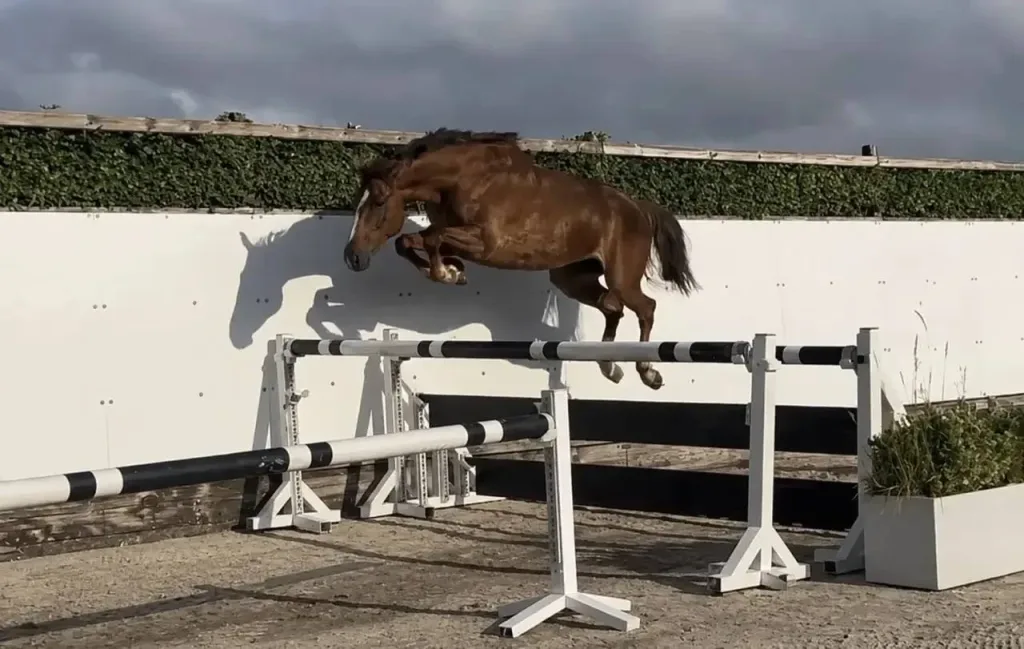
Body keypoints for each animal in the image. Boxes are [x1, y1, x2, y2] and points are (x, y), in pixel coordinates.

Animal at [342, 128, 700, 390]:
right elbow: (409, 241)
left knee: (644, 307)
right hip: (572, 277)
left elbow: (432, 238)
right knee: (612, 307)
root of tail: (638, 207)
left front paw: (447, 272)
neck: (460, 178)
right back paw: (609, 366)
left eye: (378, 202)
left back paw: (647, 371)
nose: (352, 258)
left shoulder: (486, 243)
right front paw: (453, 271)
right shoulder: (458, 236)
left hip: (621, 276)